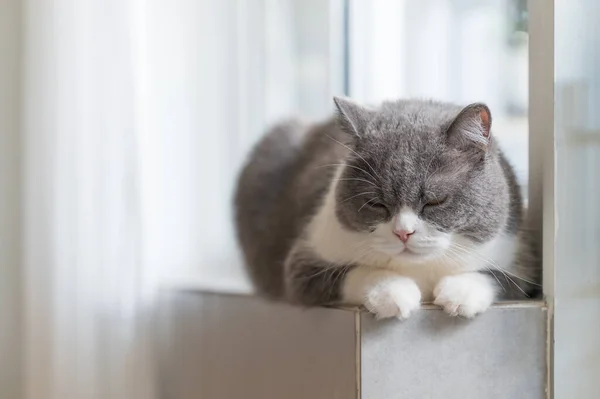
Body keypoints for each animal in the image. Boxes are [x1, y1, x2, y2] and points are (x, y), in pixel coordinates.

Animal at [234, 98, 540, 320]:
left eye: (434, 201)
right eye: (376, 203)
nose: (403, 233)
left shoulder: (520, 256)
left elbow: (498, 277)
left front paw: (460, 293)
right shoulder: (304, 262)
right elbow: (353, 272)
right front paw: (393, 292)